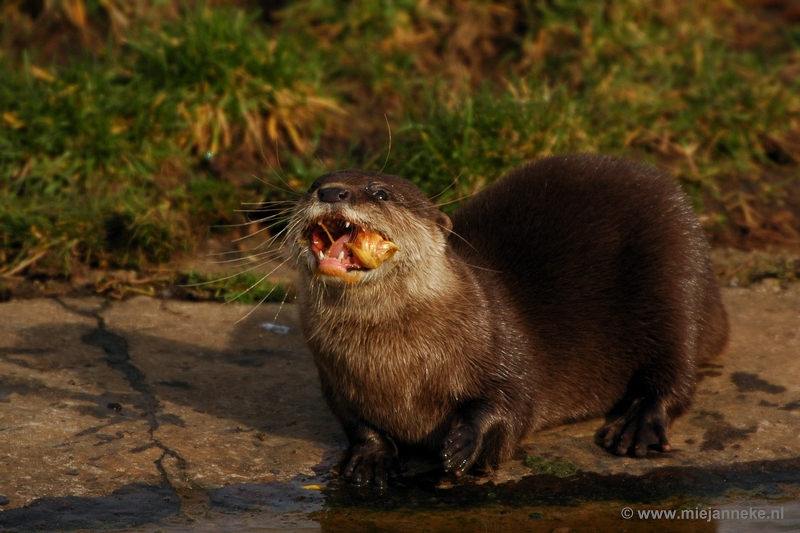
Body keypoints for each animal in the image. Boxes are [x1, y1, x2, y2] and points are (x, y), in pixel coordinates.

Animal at [288, 153, 724, 486]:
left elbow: (514, 404)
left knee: (678, 369)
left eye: (380, 192)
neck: (398, 365)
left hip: (676, 274)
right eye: (313, 184)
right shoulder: (334, 378)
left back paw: (637, 424)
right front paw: (371, 455)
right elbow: (354, 420)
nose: (331, 191)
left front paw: (466, 442)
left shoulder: (503, 342)